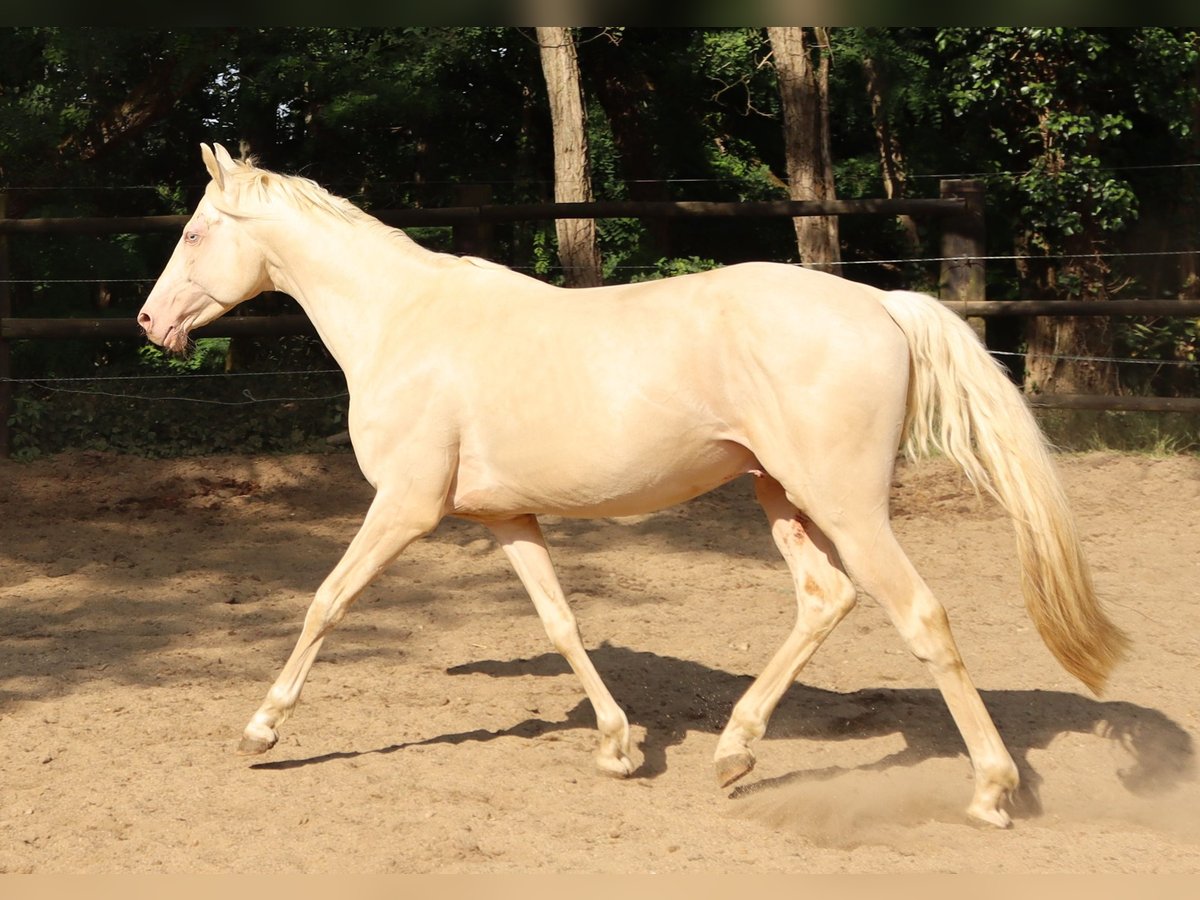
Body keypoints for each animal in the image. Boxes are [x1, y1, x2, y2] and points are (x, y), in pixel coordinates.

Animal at [136, 142, 1128, 830]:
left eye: (193, 231)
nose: (149, 321)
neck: (403, 325)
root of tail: (882, 304)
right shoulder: (507, 517)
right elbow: (562, 622)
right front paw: (618, 747)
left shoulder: (405, 510)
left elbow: (327, 601)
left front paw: (262, 731)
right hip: (782, 498)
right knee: (825, 598)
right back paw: (733, 753)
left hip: (845, 504)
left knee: (918, 614)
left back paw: (991, 792)